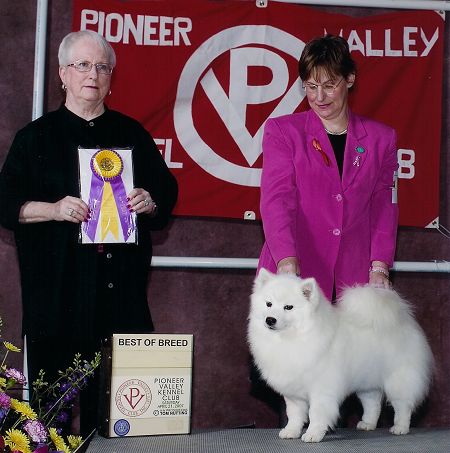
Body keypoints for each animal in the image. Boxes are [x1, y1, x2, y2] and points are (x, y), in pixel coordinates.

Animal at [248, 268, 434, 442]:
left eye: (288, 307)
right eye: (268, 304)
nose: (270, 319)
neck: (293, 337)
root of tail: (404, 321)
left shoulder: (322, 390)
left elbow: (316, 413)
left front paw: (313, 434)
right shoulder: (294, 393)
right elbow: (294, 414)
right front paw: (291, 431)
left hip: (398, 381)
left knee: (403, 405)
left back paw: (400, 427)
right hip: (367, 381)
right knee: (373, 404)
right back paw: (368, 424)